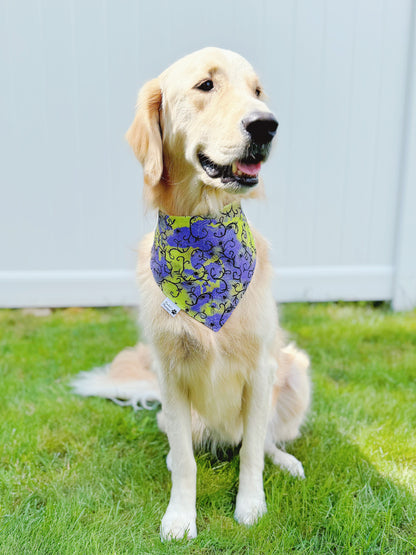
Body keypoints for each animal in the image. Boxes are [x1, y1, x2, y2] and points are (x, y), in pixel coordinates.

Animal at [73, 47, 310, 544]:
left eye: (257, 91)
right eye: (206, 85)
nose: (267, 125)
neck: (203, 239)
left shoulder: (261, 369)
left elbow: (252, 453)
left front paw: (251, 506)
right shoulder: (171, 376)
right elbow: (185, 461)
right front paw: (180, 517)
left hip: (295, 371)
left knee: (261, 441)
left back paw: (286, 460)